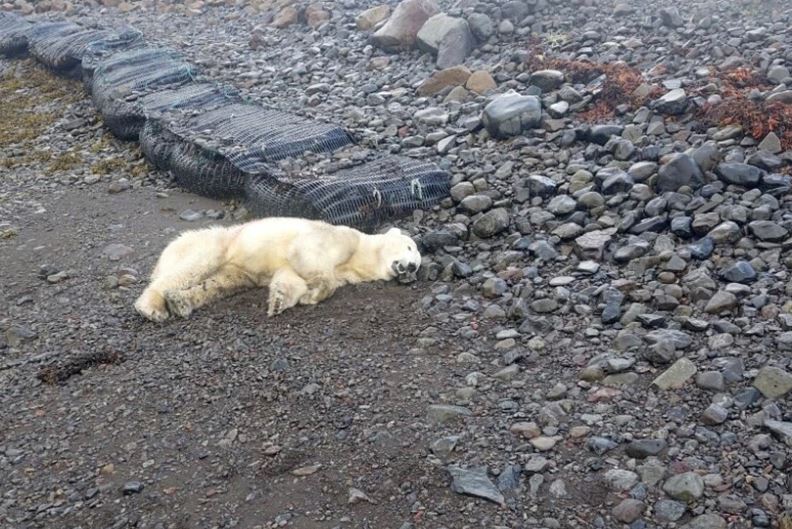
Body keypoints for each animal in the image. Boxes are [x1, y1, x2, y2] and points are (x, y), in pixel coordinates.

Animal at [133, 216, 424, 322]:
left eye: (418, 265)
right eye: (410, 247)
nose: (410, 268)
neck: (360, 255)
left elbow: (289, 277)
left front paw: (280, 301)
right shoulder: (338, 238)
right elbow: (308, 256)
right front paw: (314, 293)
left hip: (235, 270)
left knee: (220, 284)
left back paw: (180, 302)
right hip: (216, 244)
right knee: (193, 267)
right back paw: (152, 307)